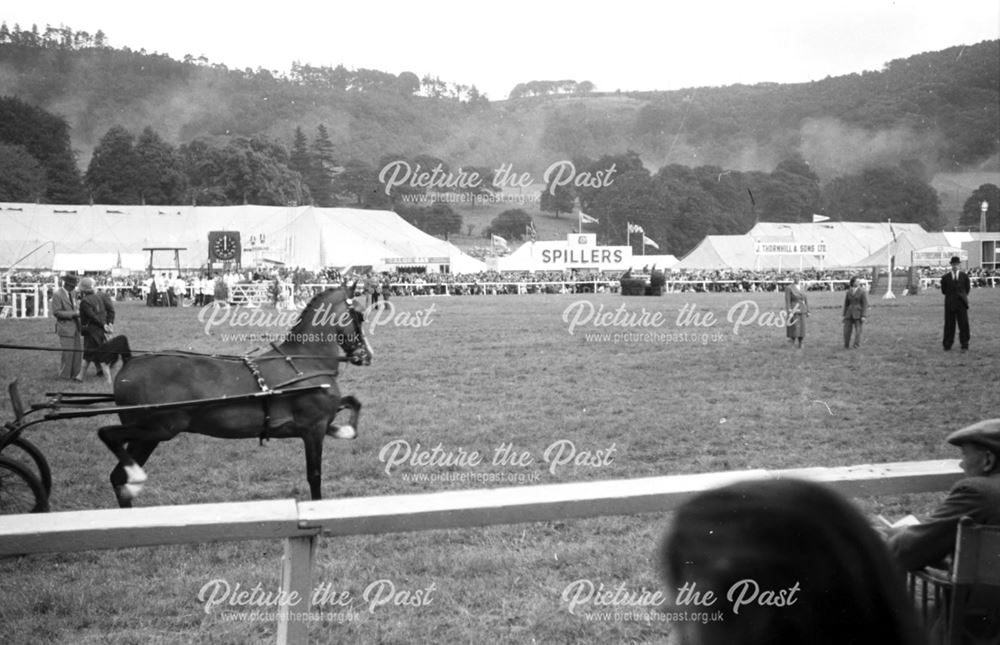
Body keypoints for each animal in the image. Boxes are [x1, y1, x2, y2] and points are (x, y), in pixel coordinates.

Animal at [95, 284, 372, 506]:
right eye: (359, 316)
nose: (367, 355)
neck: (305, 362)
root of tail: (130, 362)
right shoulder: (314, 428)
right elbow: (314, 476)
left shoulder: (317, 423)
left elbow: (353, 404)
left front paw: (345, 430)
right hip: (158, 429)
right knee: (108, 436)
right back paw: (135, 478)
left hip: (149, 437)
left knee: (116, 475)